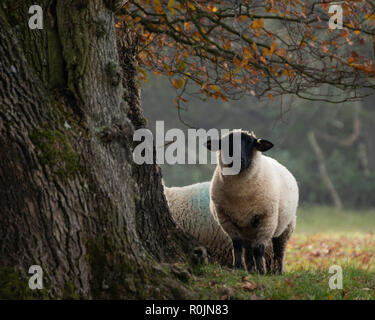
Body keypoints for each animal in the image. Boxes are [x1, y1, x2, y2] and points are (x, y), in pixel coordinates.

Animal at [206, 130, 300, 276]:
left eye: (250, 143)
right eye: (225, 143)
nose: (237, 161)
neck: (240, 195)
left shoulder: (266, 218)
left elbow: (259, 248)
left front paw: (261, 271)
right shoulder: (225, 218)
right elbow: (237, 244)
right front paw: (239, 267)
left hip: (286, 225)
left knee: (279, 249)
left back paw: (278, 271)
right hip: (247, 228)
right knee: (248, 248)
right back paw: (250, 269)